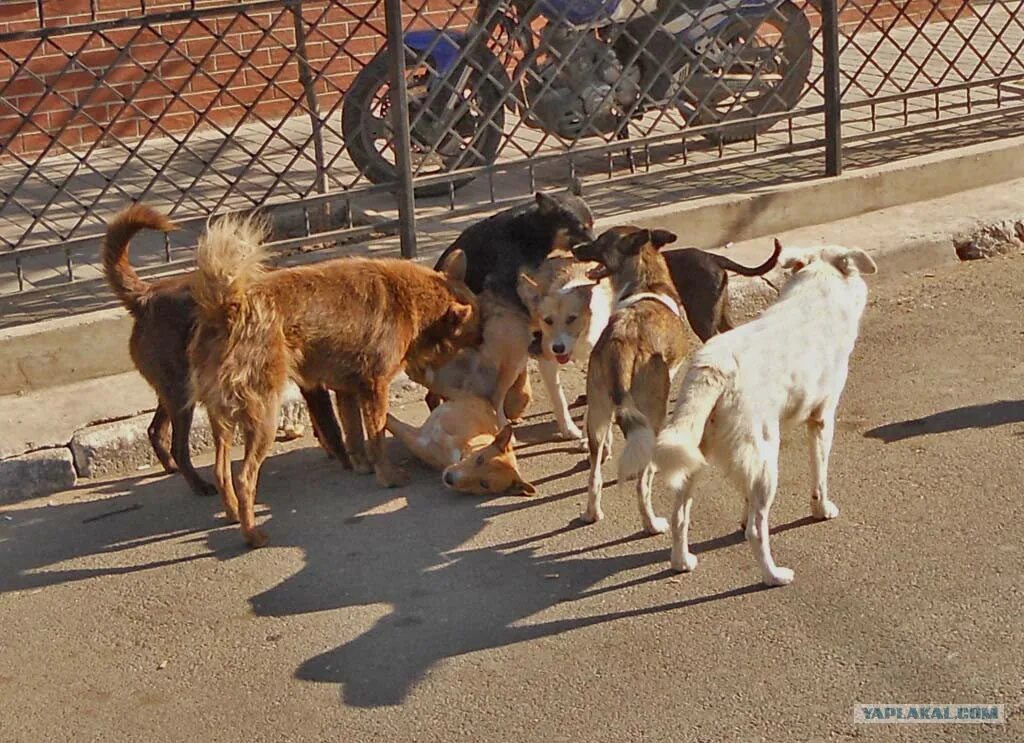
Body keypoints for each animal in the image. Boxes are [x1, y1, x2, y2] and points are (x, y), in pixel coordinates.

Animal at [100, 204, 348, 501]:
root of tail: (145, 296)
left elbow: (322, 422)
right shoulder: (313, 384)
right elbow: (330, 424)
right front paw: (344, 456)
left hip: (175, 392)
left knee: (155, 430)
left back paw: (171, 467)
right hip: (181, 397)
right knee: (178, 447)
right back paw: (199, 485)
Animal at [189, 214, 483, 548]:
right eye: (477, 328)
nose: (488, 338)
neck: (410, 300)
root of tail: (226, 308)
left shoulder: (346, 390)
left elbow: (353, 433)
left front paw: (361, 466)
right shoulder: (375, 387)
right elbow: (376, 436)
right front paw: (388, 477)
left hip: (221, 419)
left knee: (220, 470)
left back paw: (232, 514)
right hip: (265, 414)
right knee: (244, 477)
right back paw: (252, 534)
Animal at [573, 227, 692, 536]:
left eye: (600, 241)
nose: (575, 248)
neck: (645, 280)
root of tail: (622, 342)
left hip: (598, 414)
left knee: (594, 476)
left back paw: (591, 513)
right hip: (652, 418)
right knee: (642, 483)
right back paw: (652, 524)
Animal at [651, 244, 876, 589]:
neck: (817, 289)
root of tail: (715, 368)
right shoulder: (822, 420)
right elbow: (820, 475)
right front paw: (821, 509)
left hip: (695, 456)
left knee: (680, 515)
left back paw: (681, 562)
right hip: (767, 459)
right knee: (758, 531)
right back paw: (774, 575)